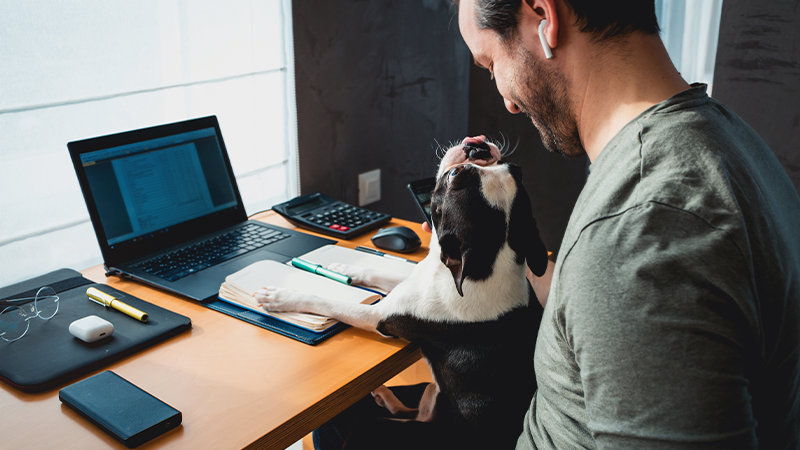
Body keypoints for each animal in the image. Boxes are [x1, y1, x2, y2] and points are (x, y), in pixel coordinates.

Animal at [253, 137, 548, 450]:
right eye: (513, 168)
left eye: (455, 177)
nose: (477, 146)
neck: (485, 264)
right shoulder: (416, 279)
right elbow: (380, 273)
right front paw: (342, 267)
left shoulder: (377, 316)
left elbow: (329, 302)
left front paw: (280, 297)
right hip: (431, 395)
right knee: (414, 408)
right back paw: (385, 396)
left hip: (381, 429)